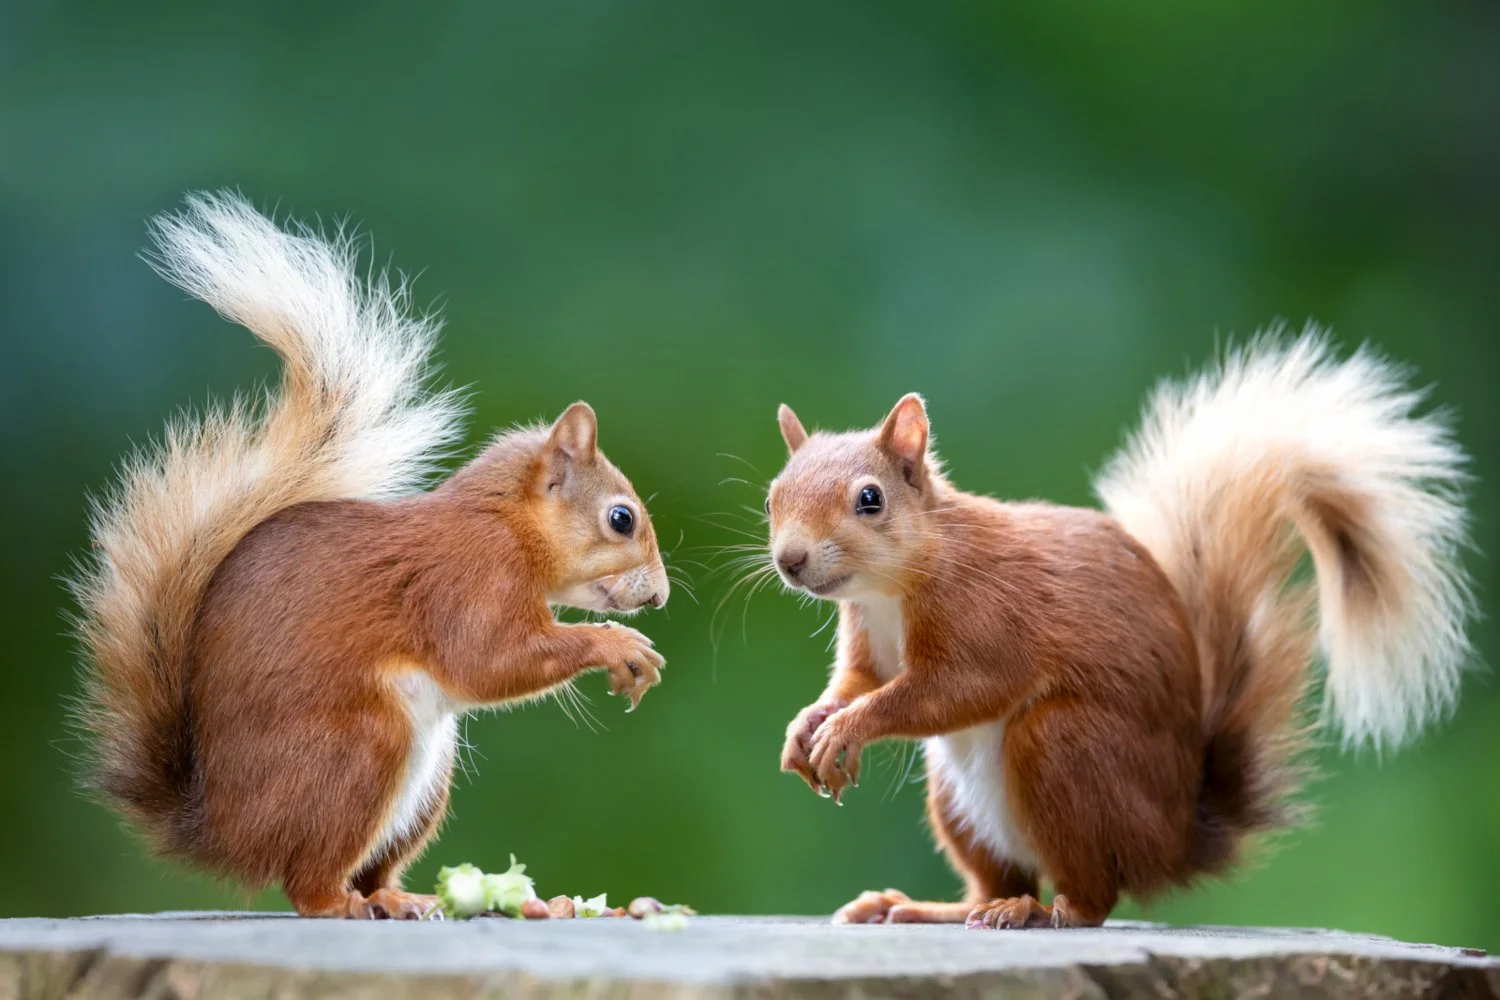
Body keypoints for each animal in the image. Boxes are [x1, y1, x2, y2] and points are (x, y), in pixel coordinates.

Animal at [70, 192, 669, 919]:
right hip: (360, 749)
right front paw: (618, 647)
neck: (505, 524)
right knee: (307, 882)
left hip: (426, 781)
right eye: (621, 519)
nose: (660, 595)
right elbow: (488, 659)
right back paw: (338, 903)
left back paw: (410, 897)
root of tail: (222, 830)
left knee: (372, 868)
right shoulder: (469, 579)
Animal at [767, 333, 1475, 929]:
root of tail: (1173, 841)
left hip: (1064, 750)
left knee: (1093, 897)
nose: (790, 560)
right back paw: (929, 907)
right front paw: (809, 723)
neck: (890, 588)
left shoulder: (987, 620)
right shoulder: (867, 635)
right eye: (773, 496)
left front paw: (850, 728)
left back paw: (1037, 911)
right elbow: (861, 679)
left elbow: (956, 689)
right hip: (956, 795)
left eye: (870, 499)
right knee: (995, 880)